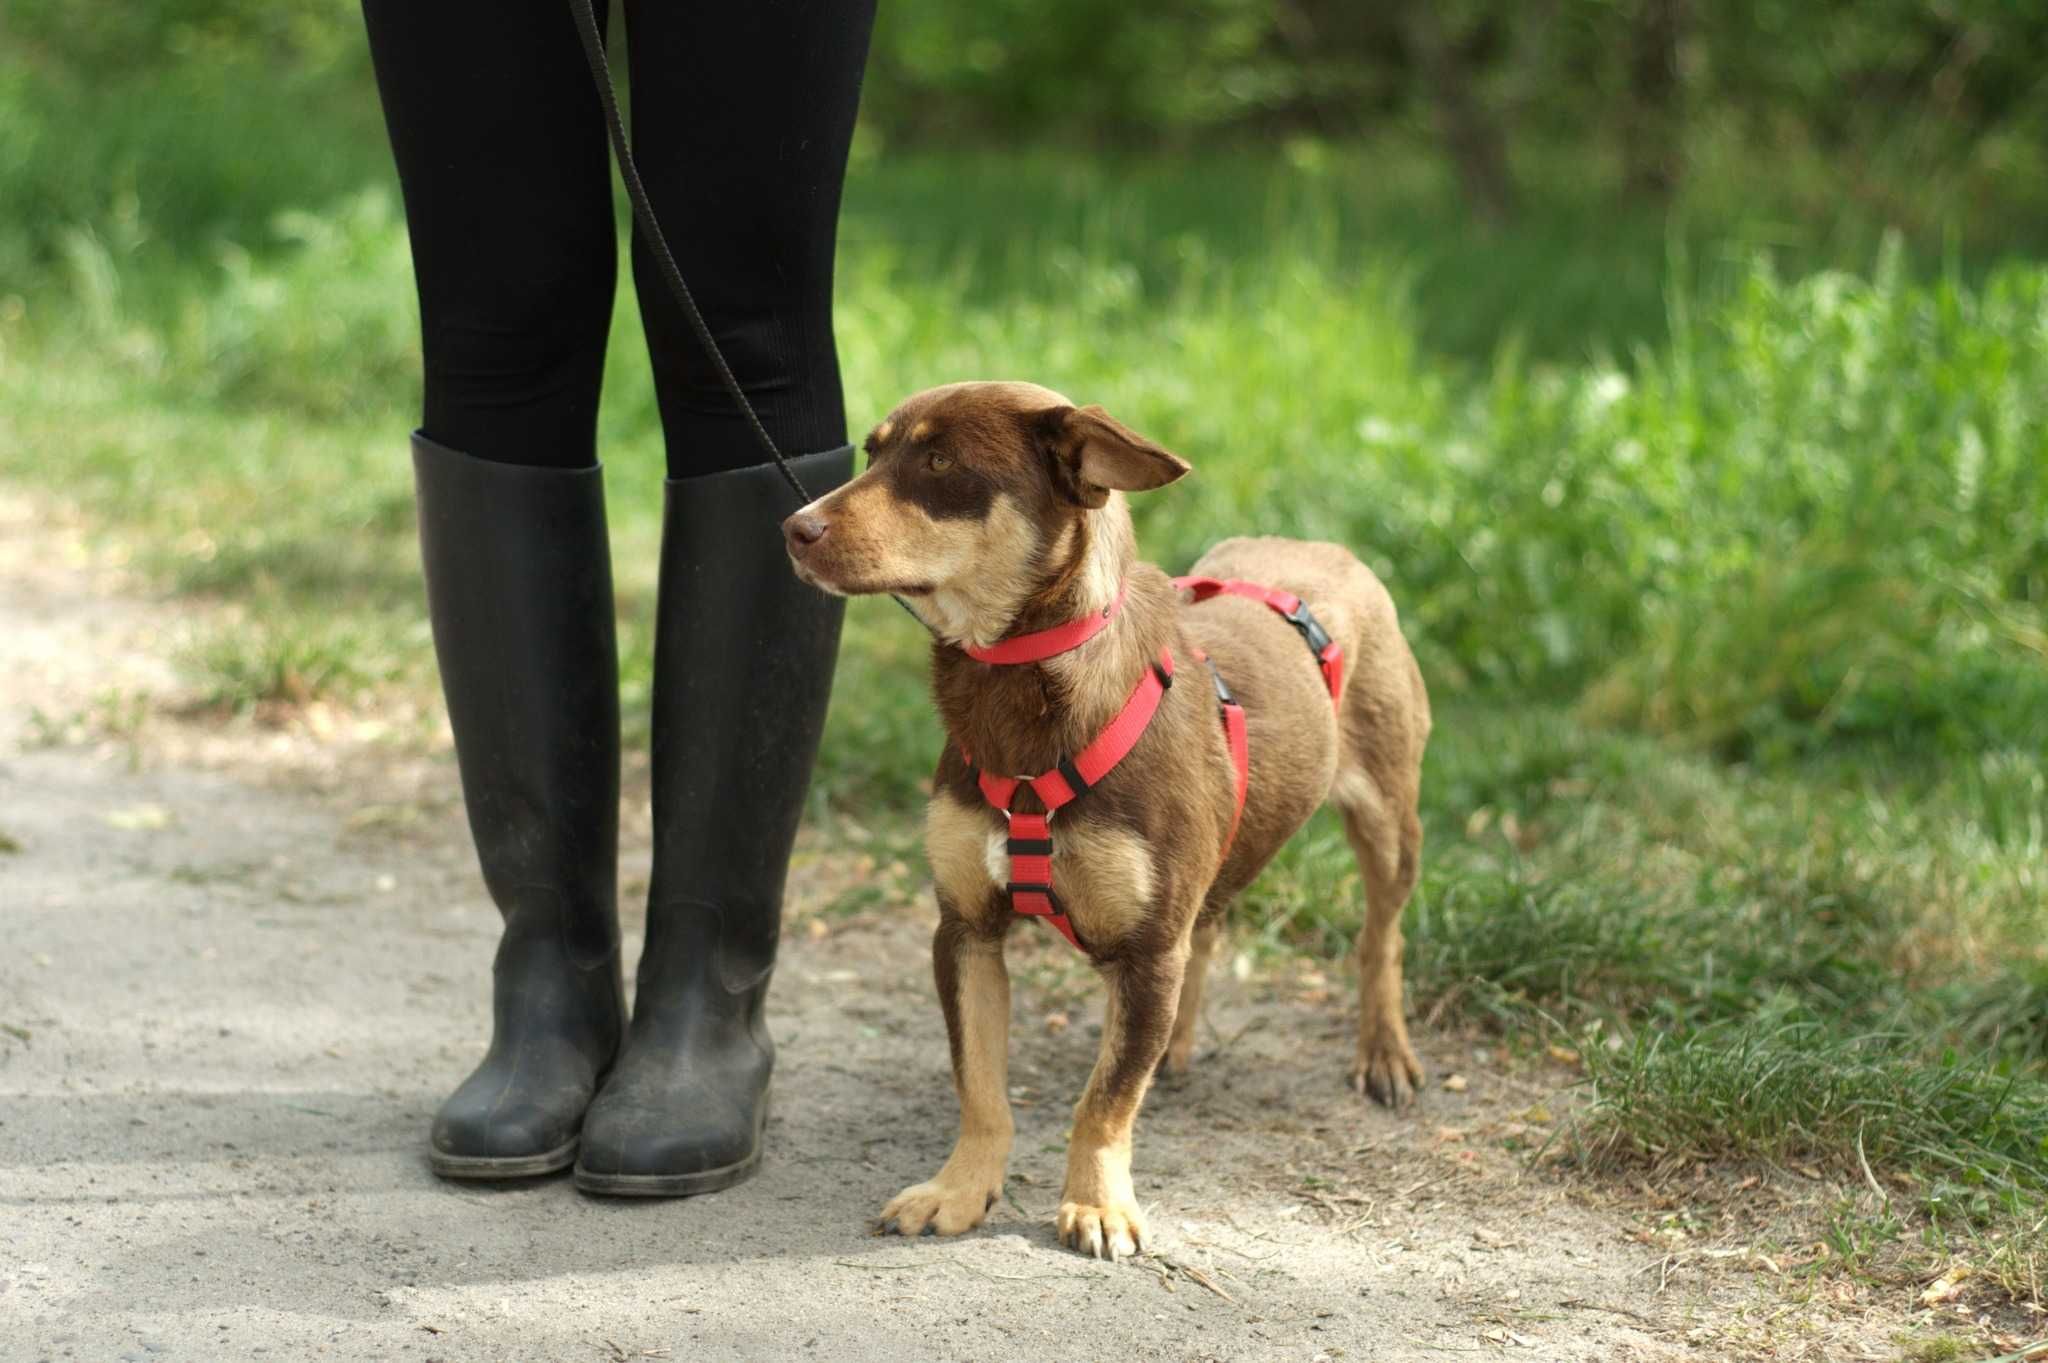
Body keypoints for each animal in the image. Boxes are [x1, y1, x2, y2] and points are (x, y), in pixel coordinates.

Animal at [774, 378, 1433, 1252]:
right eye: (872, 452)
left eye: (941, 462)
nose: (794, 528)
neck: (1019, 688)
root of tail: (1327, 549)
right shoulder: (966, 932)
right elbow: (981, 1085)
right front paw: (961, 1188)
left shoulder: (1146, 953)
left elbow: (1106, 1096)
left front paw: (1096, 1203)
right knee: (1209, 930)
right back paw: (1179, 1044)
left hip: (1390, 820)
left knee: (1380, 936)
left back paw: (1384, 1050)